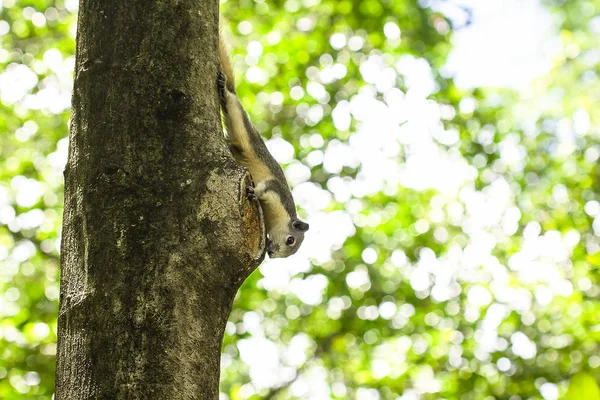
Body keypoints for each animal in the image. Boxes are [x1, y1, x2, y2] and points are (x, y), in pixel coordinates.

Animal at [217, 29, 310, 258]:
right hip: (241, 126)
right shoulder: (274, 190)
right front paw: (253, 192)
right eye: (290, 240)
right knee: (231, 103)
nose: (271, 253)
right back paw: (224, 89)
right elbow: (263, 188)